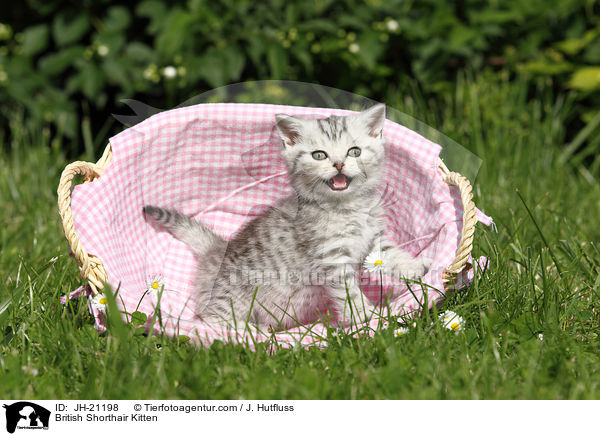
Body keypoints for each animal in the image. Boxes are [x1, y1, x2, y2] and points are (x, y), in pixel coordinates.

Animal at [143, 104, 428, 330]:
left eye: (354, 151)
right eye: (319, 155)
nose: (338, 164)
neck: (347, 207)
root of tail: (218, 248)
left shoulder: (374, 240)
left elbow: (391, 254)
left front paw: (415, 267)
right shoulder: (332, 259)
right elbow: (350, 292)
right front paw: (367, 316)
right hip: (232, 298)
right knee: (212, 320)